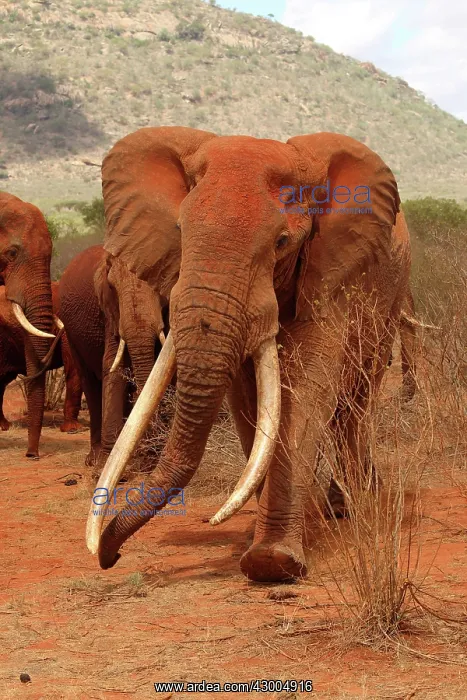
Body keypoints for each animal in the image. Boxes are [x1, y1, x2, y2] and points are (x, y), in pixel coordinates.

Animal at [58, 244, 169, 470]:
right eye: (112, 287)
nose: (150, 456)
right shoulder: (110, 311)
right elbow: (113, 365)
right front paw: (104, 466)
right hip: (72, 336)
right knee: (89, 383)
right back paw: (94, 460)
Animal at [85, 127, 413, 583]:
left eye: (282, 243)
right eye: (180, 230)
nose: (109, 556)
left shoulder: (331, 272)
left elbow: (305, 388)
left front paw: (273, 562)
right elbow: (245, 398)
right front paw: (261, 538)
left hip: (391, 298)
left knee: (354, 403)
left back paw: (353, 504)